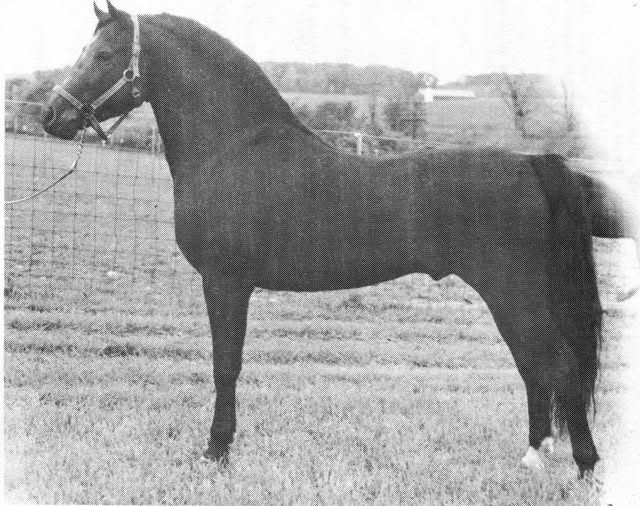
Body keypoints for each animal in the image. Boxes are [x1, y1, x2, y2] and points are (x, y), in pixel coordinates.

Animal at [43, 1, 627, 478]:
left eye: (105, 54)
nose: (52, 116)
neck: (233, 148)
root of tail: (533, 164)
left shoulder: (225, 282)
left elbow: (225, 366)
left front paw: (216, 451)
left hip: (513, 293)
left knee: (558, 365)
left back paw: (584, 465)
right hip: (516, 296)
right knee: (534, 365)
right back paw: (533, 455)